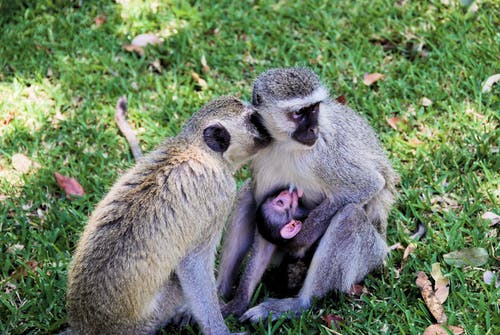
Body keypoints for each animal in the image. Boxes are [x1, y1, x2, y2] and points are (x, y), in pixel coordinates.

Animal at [66, 96, 272, 334]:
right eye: (254, 119)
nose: (271, 130)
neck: (197, 149)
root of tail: (86, 325)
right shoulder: (221, 194)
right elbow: (193, 266)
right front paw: (220, 330)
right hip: (153, 315)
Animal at [217, 68, 400, 322]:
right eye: (299, 113)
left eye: (314, 109)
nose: (314, 129)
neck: (287, 145)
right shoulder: (263, 158)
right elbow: (264, 229)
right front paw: (239, 301)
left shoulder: (324, 156)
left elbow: (367, 185)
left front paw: (300, 240)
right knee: (247, 197)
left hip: (371, 254)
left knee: (350, 216)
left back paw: (298, 304)